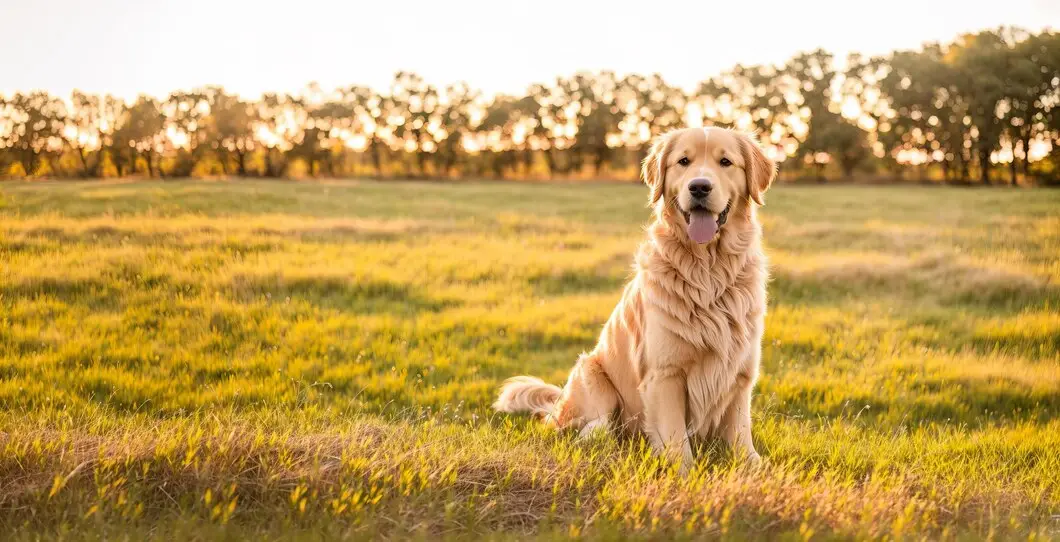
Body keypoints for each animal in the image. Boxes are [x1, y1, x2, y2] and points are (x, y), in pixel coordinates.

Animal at [491, 128, 775, 470]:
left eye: (725, 162)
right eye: (684, 161)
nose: (699, 186)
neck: (709, 271)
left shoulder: (739, 374)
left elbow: (740, 436)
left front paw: (753, 469)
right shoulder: (664, 375)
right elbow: (676, 442)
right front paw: (683, 475)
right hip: (591, 373)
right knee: (585, 428)